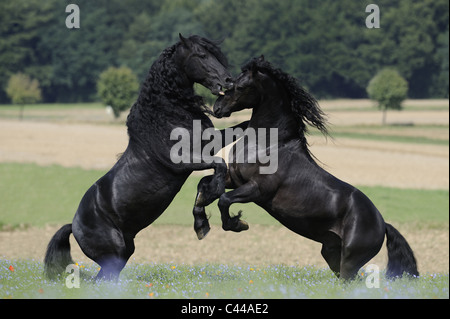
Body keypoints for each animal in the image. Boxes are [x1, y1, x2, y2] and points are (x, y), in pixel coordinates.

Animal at [44, 35, 237, 280]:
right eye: (202, 55)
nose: (229, 81)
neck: (165, 114)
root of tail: (74, 226)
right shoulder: (185, 161)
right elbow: (219, 166)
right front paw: (207, 204)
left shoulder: (209, 144)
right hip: (114, 254)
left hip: (124, 253)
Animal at [211, 56, 418, 282]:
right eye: (230, 83)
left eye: (240, 86)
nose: (217, 108)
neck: (268, 144)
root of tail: (383, 224)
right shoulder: (235, 180)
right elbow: (213, 188)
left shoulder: (257, 189)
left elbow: (224, 199)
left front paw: (237, 224)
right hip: (331, 252)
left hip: (350, 260)